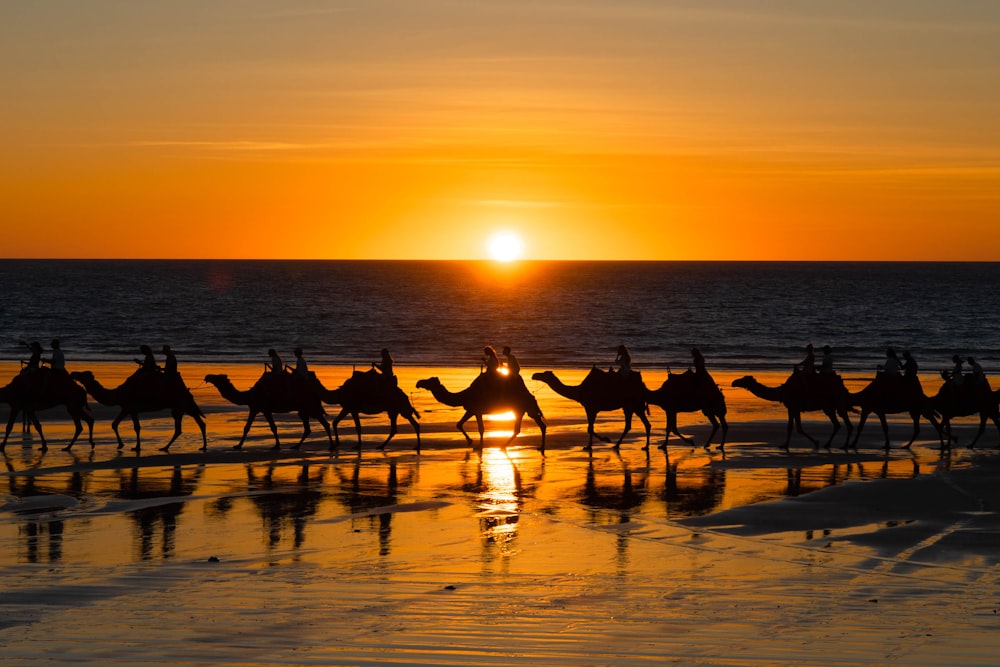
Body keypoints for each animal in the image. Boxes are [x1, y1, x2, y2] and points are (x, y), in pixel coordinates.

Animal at [71, 368, 206, 452]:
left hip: (182, 404)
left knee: (188, 425)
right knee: (197, 423)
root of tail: (186, 390)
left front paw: (128, 445)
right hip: (183, 407)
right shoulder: (130, 409)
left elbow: (126, 426)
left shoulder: (128, 407)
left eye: (83, 374)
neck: (117, 394)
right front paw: (130, 446)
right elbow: (123, 425)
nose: (73, 373)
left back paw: (167, 447)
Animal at [205, 374, 334, 452]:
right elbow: (248, 427)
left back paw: (331, 446)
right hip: (304, 410)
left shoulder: (262, 408)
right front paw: (238, 445)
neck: (248, 395)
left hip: (311, 407)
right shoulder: (257, 408)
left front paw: (276, 446)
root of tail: (315, 394)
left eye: (217, 377)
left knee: (324, 424)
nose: (207, 376)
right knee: (309, 428)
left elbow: (271, 427)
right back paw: (296, 446)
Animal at [416, 374, 548, 452]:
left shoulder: (476, 410)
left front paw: (478, 445)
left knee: (523, 428)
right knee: (538, 426)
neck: (464, 396)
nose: (418, 383)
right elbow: (459, 424)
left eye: (429, 381)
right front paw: (471, 441)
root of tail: (531, 396)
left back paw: (504, 446)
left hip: (522, 409)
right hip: (524, 410)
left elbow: (481, 428)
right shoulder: (471, 410)